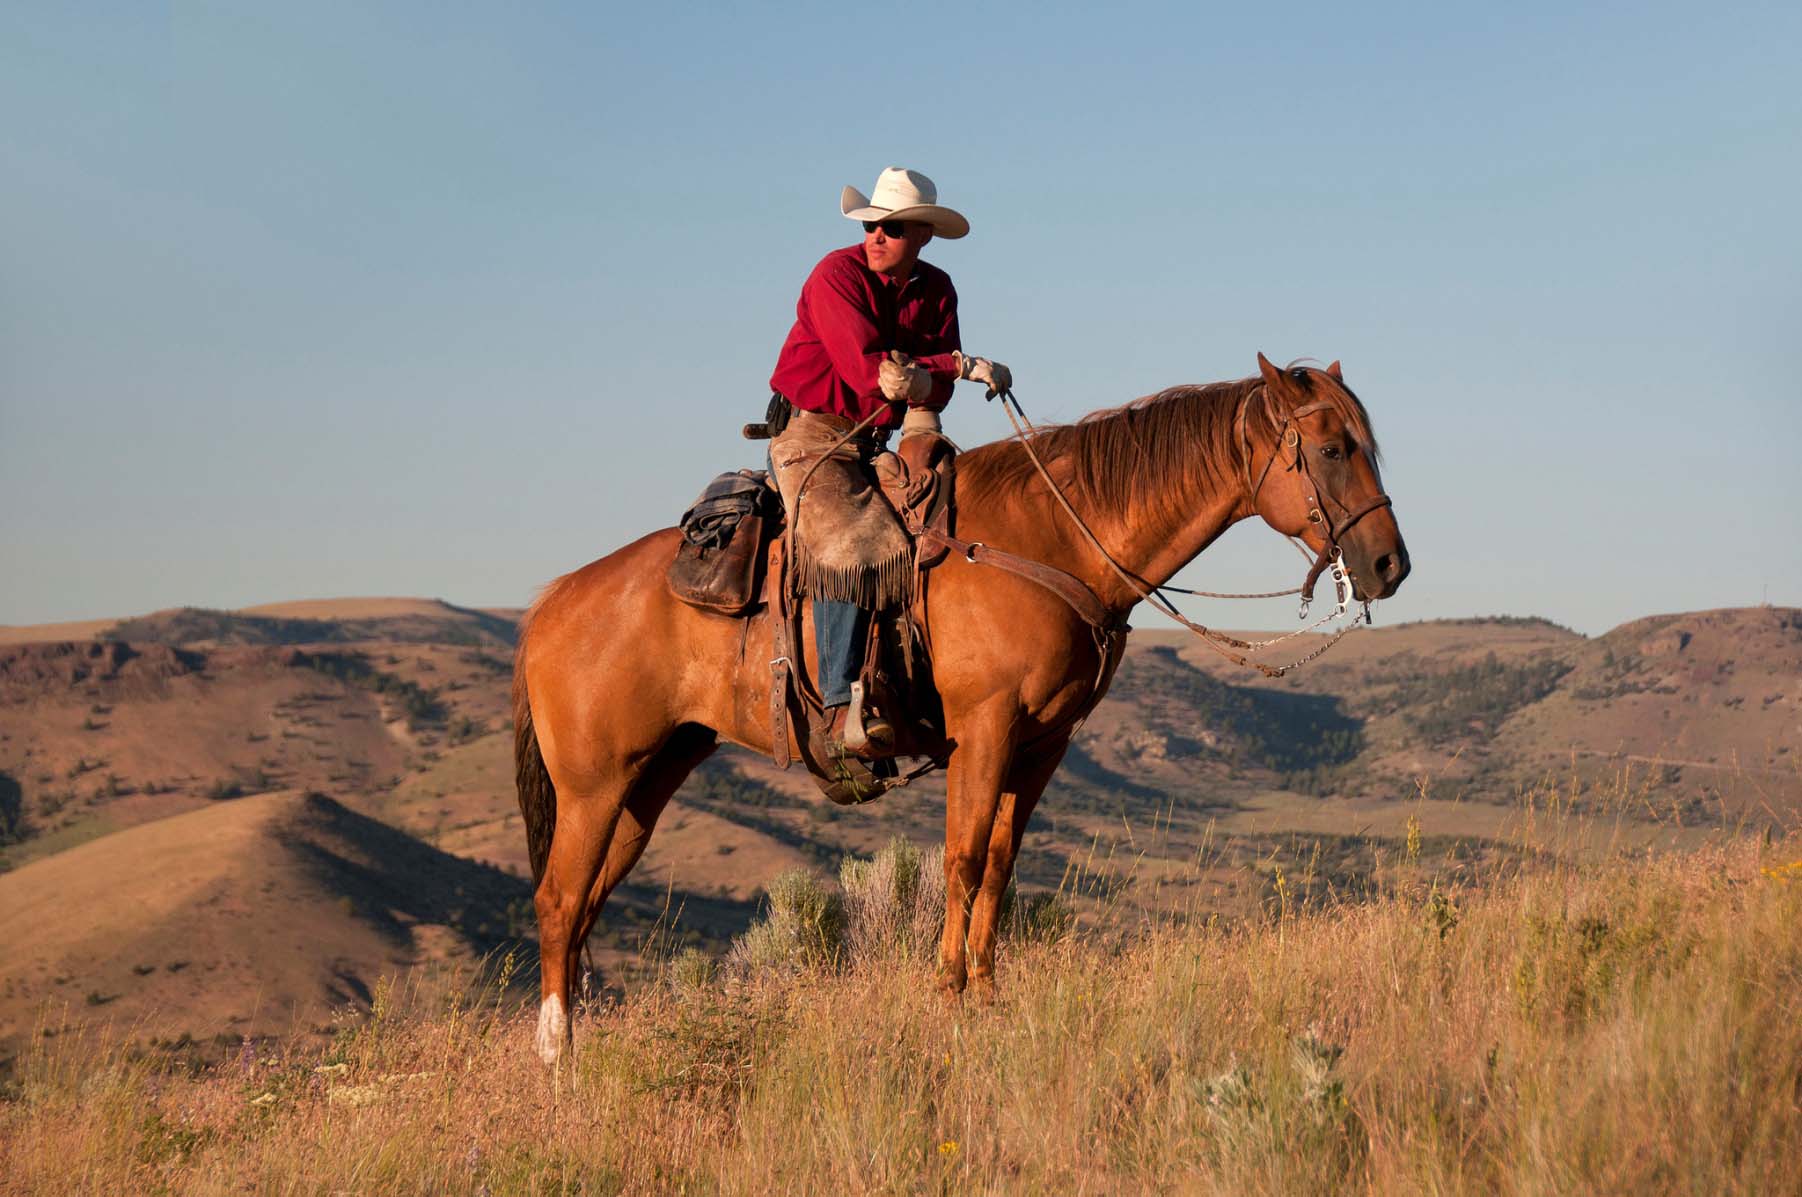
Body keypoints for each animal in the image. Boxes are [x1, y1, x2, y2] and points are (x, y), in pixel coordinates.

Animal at [508, 351, 1405, 1059]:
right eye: (1331, 448)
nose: (1389, 564)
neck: (1053, 536)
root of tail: (551, 602)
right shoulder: (985, 730)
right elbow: (964, 859)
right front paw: (946, 992)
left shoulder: (1041, 744)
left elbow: (1002, 864)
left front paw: (986, 994)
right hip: (593, 787)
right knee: (556, 903)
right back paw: (557, 1057)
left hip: (647, 782)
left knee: (583, 906)